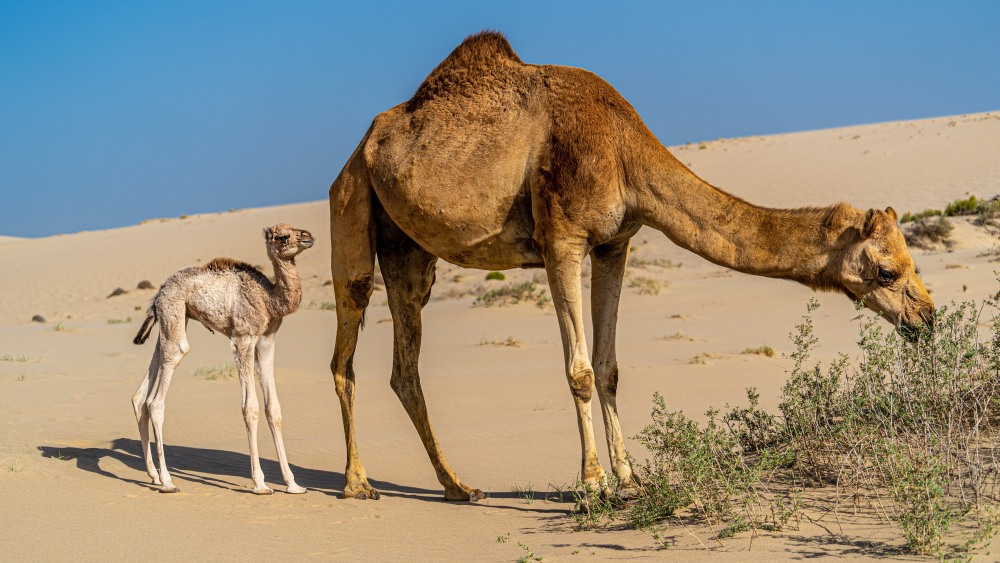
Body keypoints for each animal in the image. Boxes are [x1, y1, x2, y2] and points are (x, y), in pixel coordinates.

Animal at [131, 224, 314, 494]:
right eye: (283, 236)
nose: (309, 237)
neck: (268, 299)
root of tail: (159, 294)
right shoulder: (243, 338)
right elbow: (251, 408)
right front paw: (260, 483)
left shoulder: (266, 341)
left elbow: (274, 409)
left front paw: (293, 484)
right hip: (174, 311)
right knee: (157, 397)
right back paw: (167, 481)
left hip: (172, 320)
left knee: (141, 395)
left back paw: (153, 476)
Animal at [327, 31, 935, 502]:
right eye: (888, 272)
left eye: (912, 265)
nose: (928, 319)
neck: (623, 150)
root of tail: (364, 143)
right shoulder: (562, 239)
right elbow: (579, 369)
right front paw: (593, 484)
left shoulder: (613, 244)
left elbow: (609, 365)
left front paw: (630, 479)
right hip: (351, 202)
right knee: (347, 339)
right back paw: (358, 484)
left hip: (409, 252)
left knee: (405, 363)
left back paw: (458, 487)